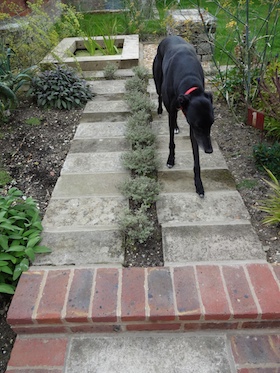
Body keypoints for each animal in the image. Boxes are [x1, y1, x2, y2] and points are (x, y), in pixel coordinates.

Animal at [153, 36, 214, 196]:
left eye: (212, 123)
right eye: (199, 125)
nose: (209, 151)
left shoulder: (191, 124)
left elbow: (196, 157)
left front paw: (199, 184)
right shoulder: (178, 113)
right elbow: (171, 142)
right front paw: (170, 160)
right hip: (158, 81)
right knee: (159, 95)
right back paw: (159, 110)